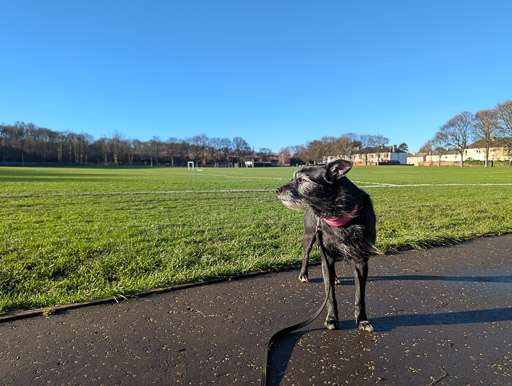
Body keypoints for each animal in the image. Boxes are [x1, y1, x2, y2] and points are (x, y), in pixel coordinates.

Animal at [276, 160, 376, 332]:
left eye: (301, 180)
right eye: (293, 178)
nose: (277, 190)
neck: (338, 214)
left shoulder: (361, 261)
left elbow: (360, 296)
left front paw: (362, 320)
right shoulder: (326, 256)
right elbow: (330, 295)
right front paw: (332, 318)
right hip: (309, 236)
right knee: (305, 255)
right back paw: (303, 274)